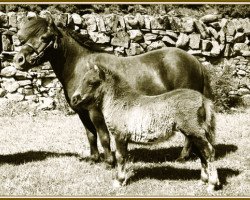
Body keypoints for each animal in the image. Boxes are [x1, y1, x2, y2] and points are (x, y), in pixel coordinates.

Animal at [13, 16, 213, 167]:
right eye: (25, 38)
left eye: (45, 37)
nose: (19, 60)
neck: (81, 68)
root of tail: (195, 61)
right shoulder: (82, 112)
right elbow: (91, 135)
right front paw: (94, 159)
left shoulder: (95, 111)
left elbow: (103, 136)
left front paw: (110, 161)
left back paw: (182, 157)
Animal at [71, 64, 220, 192]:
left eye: (91, 82)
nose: (74, 99)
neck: (119, 103)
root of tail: (203, 99)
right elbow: (124, 157)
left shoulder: (120, 136)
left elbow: (120, 157)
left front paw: (119, 181)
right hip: (193, 134)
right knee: (202, 154)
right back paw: (203, 181)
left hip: (195, 133)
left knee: (209, 152)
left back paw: (211, 184)